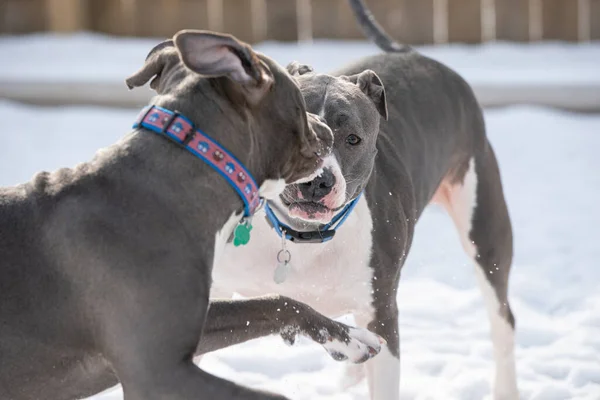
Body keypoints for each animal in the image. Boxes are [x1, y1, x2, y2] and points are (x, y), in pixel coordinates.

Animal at [212, 1, 520, 398]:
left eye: (352, 139)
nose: (317, 182)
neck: (302, 238)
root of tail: (416, 55)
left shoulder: (383, 315)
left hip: (484, 230)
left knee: (502, 319)